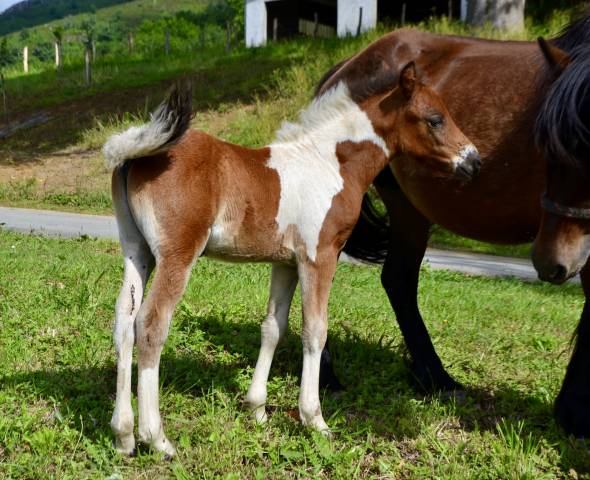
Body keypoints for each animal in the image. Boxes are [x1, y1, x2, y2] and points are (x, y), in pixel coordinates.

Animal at [104, 63, 478, 458]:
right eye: (435, 118)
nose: (474, 161)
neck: (330, 163)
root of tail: (135, 154)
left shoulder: (285, 262)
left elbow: (273, 327)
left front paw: (257, 410)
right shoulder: (319, 256)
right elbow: (315, 330)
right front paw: (314, 419)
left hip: (137, 250)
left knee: (124, 322)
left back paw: (123, 435)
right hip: (177, 255)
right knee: (151, 324)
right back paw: (156, 438)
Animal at [316, 11, 590, 438]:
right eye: (547, 147)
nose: (553, 262)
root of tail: (345, 66)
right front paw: (574, 415)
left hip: (409, 208)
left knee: (397, 279)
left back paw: (436, 379)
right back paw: (327, 375)